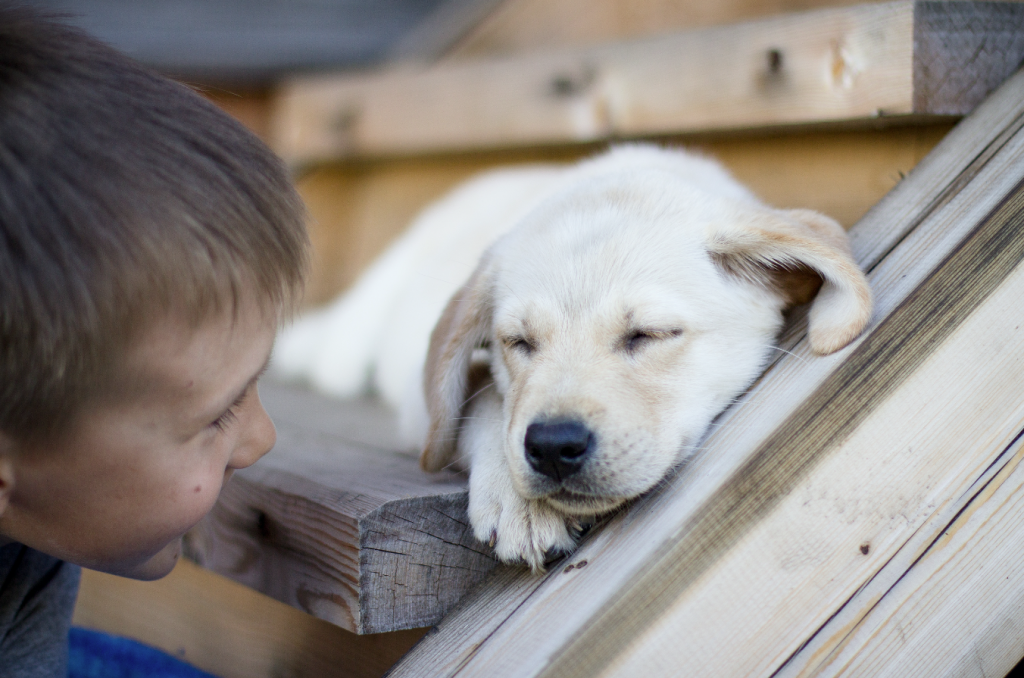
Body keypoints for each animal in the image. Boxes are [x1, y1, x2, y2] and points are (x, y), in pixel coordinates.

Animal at [274, 144, 872, 573]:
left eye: (648, 335)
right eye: (519, 343)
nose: (553, 448)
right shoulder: (420, 407)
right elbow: (486, 398)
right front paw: (519, 502)